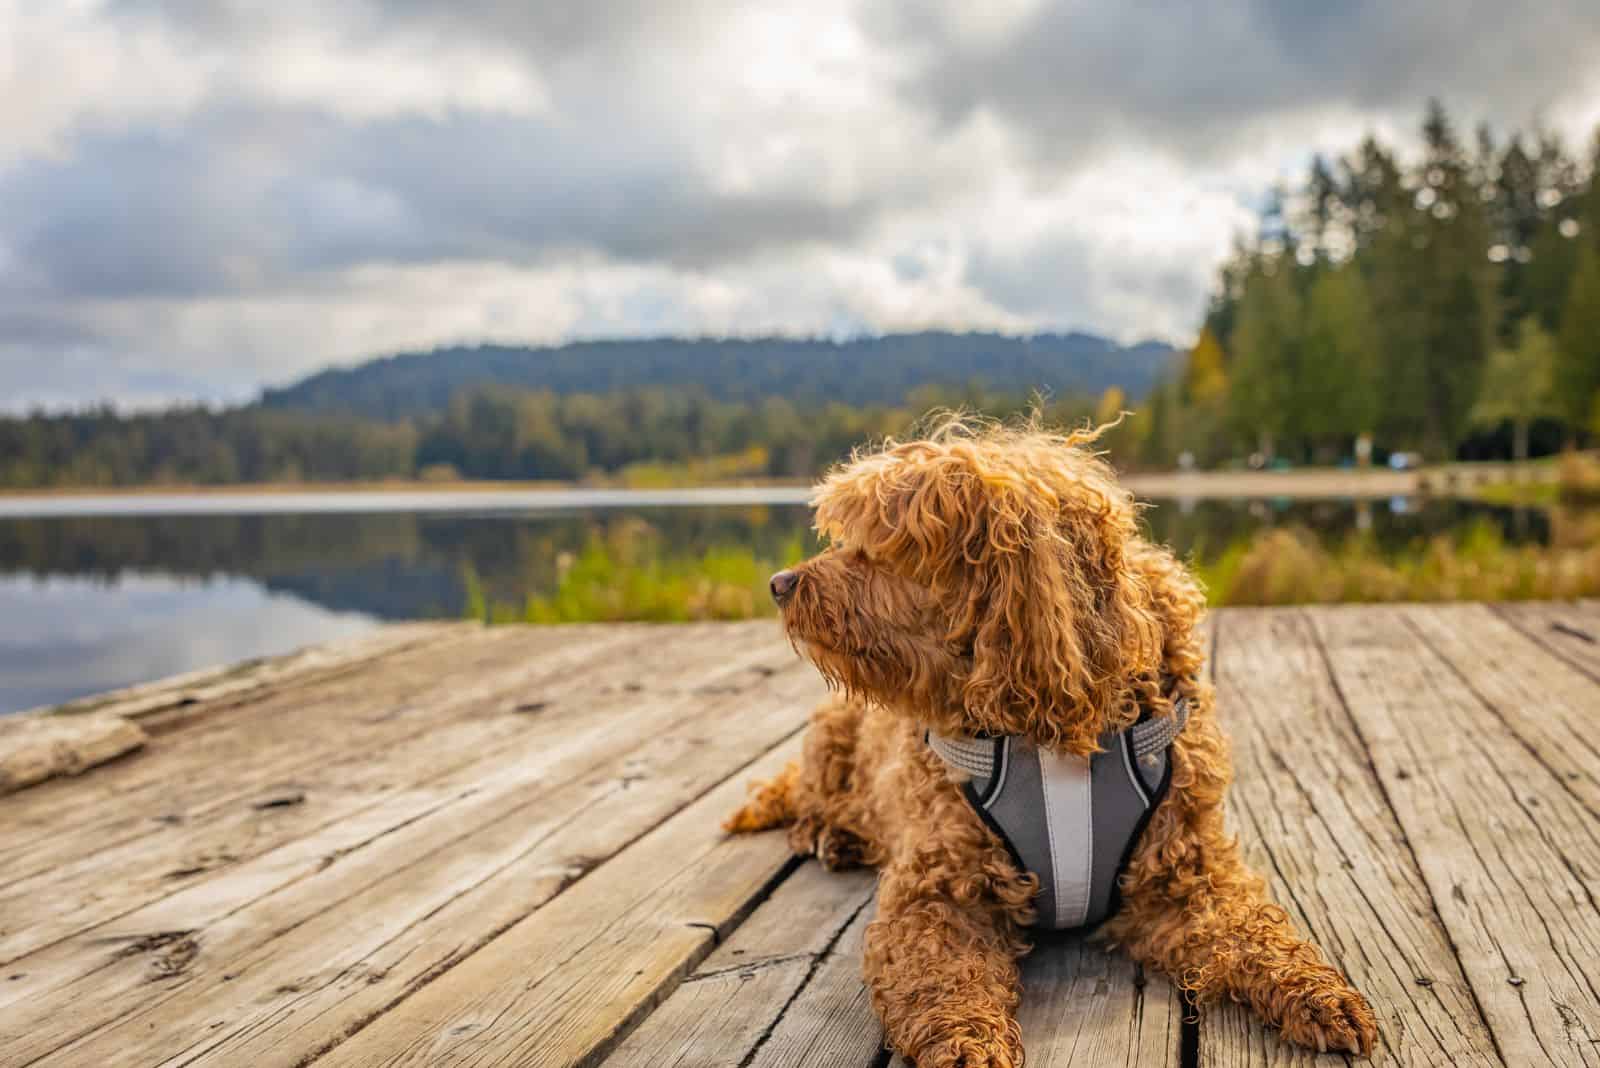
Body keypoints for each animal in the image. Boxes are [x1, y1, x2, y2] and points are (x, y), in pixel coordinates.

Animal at [726, 422, 1376, 1061]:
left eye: (886, 542)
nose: (780, 583)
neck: (1050, 729)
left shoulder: (1185, 875)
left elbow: (1253, 929)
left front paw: (1315, 992)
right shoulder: (937, 893)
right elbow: (941, 977)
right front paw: (965, 1040)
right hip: (832, 739)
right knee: (812, 799)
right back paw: (831, 835)